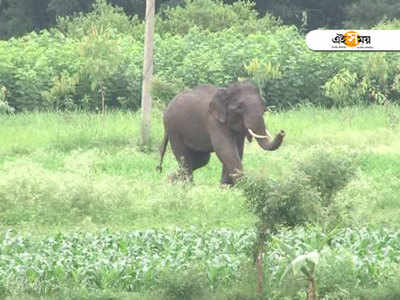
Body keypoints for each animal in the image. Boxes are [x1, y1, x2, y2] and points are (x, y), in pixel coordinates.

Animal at [156, 81, 284, 185]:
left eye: (264, 106)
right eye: (239, 107)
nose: (282, 132)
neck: (226, 92)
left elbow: (237, 151)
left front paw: (226, 187)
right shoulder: (214, 122)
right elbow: (226, 150)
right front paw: (243, 187)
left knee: (201, 160)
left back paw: (169, 181)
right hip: (174, 129)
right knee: (185, 159)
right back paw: (186, 186)